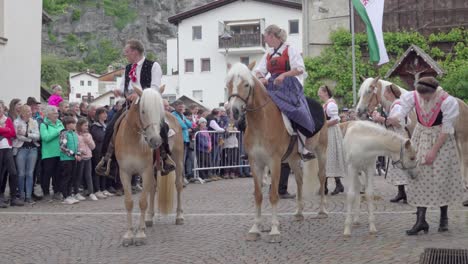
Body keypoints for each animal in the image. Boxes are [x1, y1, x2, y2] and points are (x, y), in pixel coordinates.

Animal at [114, 86, 183, 245]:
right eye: (143, 111)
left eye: (159, 112)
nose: (156, 141)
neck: (133, 141)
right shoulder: (124, 173)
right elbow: (129, 202)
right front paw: (129, 235)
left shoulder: (145, 171)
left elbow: (142, 202)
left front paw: (139, 235)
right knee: (153, 188)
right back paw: (149, 218)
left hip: (179, 161)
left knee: (178, 185)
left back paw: (179, 217)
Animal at [226, 62, 328, 243]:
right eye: (229, 84)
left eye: (246, 85)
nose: (234, 111)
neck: (261, 122)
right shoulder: (255, 163)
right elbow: (258, 195)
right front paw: (255, 228)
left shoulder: (274, 162)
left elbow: (273, 195)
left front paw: (274, 230)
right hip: (293, 159)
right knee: (300, 180)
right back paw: (299, 212)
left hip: (321, 151)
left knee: (321, 177)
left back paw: (322, 211)